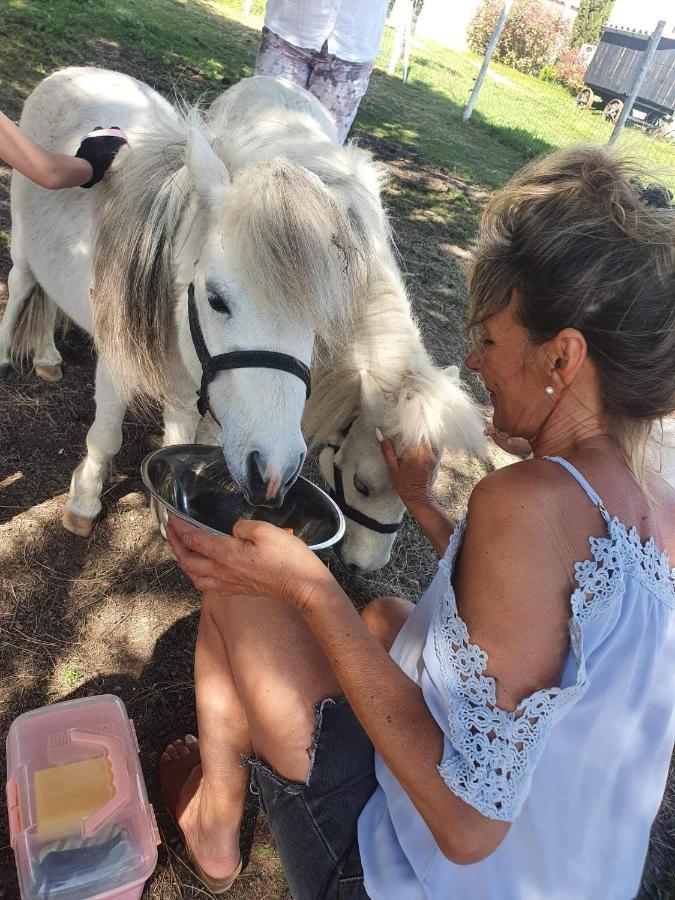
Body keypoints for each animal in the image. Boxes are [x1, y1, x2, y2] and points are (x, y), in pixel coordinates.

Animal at [1, 72, 390, 536]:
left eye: (316, 318)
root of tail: (76, 71)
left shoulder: (195, 388)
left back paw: (46, 355)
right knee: (21, 286)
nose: (275, 471)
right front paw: (84, 502)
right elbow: (105, 437)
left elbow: (185, 442)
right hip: (23, 246)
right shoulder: (117, 361)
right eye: (216, 300)